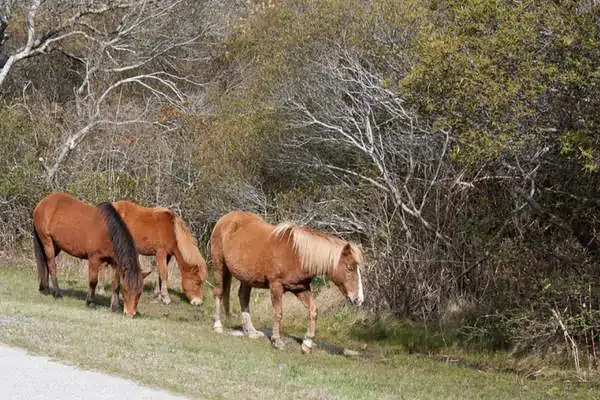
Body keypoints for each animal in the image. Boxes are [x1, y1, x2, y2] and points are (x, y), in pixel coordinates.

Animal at [211, 209, 364, 354]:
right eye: (350, 268)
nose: (359, 299)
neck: (297, 255)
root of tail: (226, 218)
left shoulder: (300, 288)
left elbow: (313, 311)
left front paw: (307, 344)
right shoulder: (276, 286)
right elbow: (278, 313)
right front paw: (277, 341)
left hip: (247, 277)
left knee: (243, 297)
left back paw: (251, 331)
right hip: (219, 265)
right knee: (219, 292)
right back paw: (218, 325)